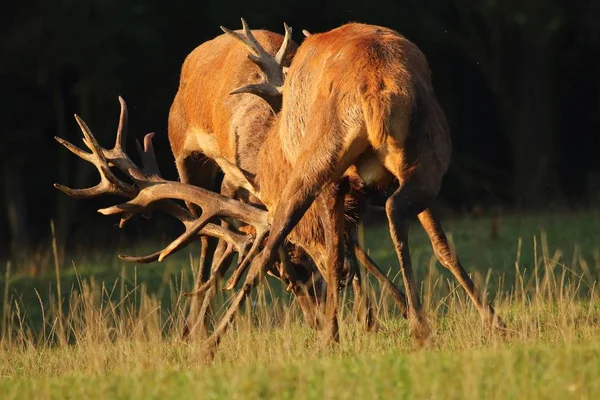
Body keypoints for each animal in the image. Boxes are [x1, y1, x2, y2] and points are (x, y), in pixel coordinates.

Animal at [198, 20, 506, 354]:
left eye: (267, 195)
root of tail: (375, 87)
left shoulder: (333, 184)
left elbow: (332, 252)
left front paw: (337, 330)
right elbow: (441, 247)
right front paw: (495, 323)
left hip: (324, 155)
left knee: (271, 245)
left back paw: (212, 342)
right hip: (428, 150)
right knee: (399, 210)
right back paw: (423, 325)